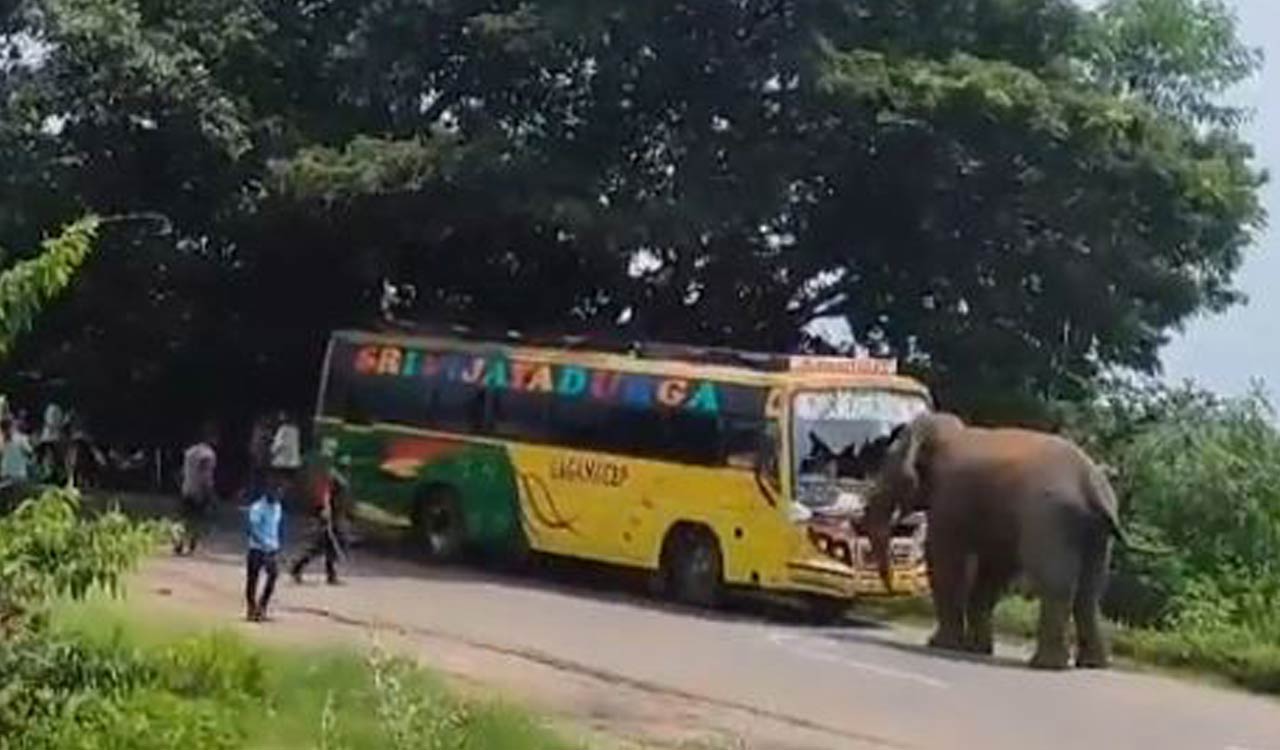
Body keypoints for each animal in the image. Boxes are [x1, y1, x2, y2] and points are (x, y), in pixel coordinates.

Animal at [865, 412, 1129, 671]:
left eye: (888, 467)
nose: (891, 588)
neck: (952, 431)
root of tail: (1093, 486)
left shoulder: (950, 497)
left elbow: (944, 558)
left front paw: (940, 644)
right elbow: (993, 570)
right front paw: (976, 649)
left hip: (1050, 517)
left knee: (1056, 582)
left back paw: (1047, 665)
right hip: (1095, 532)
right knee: (1090, 591)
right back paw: (1093, 664)